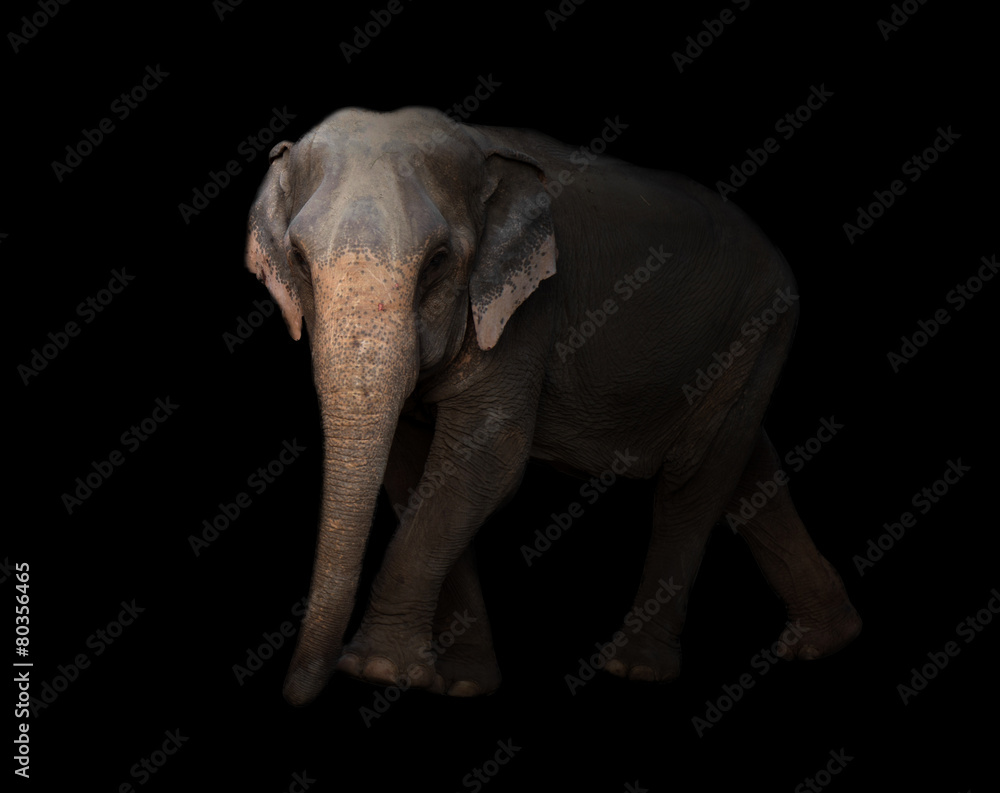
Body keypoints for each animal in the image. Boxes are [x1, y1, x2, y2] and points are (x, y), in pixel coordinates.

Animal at [244, 106, 861, 706]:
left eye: (439, 260)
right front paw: (462, 685)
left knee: (694, 480)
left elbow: (485, 458)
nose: (293, 695)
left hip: (760, 326)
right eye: (297, 258)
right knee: (747, 468)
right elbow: (414, 469)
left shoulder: (531, 310)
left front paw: (375, 671)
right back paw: (826, 640)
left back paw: (637, 669)